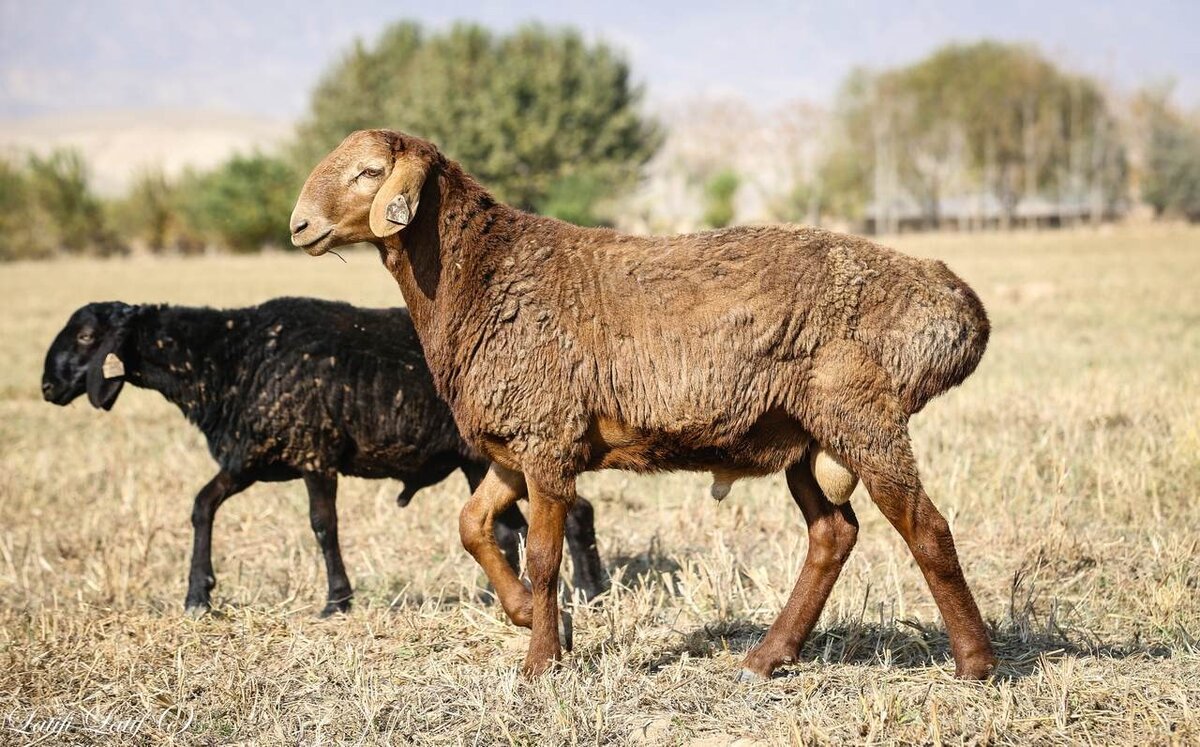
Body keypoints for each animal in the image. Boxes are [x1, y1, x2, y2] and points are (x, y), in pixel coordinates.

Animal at [41, 299, 604, 619]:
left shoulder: (313, 454)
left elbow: (322, 525)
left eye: (87, 336)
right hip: (479, 462)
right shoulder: (252, 458)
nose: (47, 387)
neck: (226, 357)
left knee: (573, 512)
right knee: (514, 527)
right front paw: (198, 596)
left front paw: (336, 602)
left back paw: (589, 591)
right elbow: (203, 504)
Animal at [288, 130, 993, 686]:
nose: (298, 225)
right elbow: (471, 525)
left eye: (369, 173)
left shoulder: (548, 438)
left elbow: (545, 558)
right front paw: (529, 616)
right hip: (804, 434)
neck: (481, 277)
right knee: (833, 534)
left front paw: (541, 662)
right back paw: (767, 658)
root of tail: (957, 303)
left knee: (926, 527)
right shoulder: (515, 446)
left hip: (862, 416)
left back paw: (975, 663)